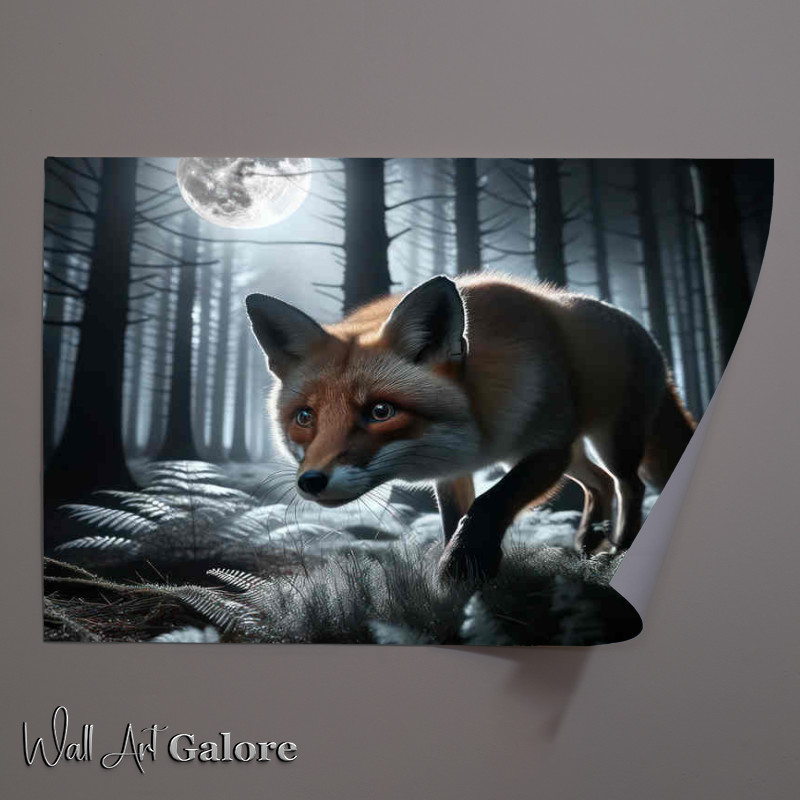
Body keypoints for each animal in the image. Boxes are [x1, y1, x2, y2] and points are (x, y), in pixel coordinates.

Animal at [245, 273, 696, 581]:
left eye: (380, 412)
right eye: (305, 418)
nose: (311, 482)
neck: (479, 430)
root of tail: (647, 335)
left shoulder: (547, 446)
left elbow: (490, 503)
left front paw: (464, 566)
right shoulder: (455, 470)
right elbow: (454, 519)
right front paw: (458, 571)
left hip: (609, 441)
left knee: (629, 484)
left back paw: (619, 548)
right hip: (575, 453)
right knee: (599, 483)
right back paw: (587, 541)